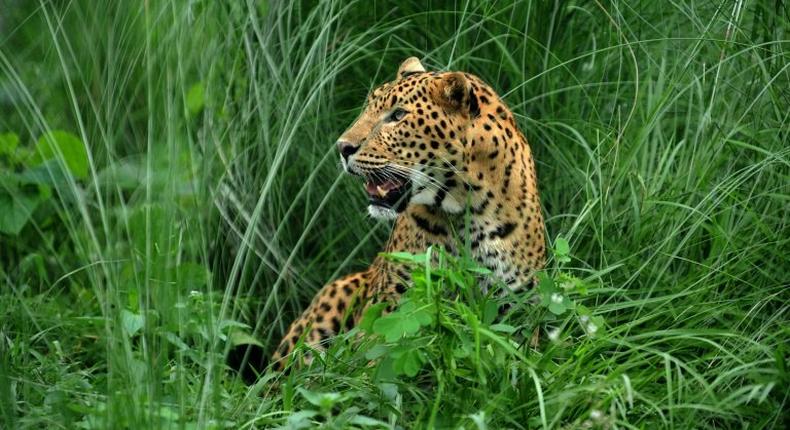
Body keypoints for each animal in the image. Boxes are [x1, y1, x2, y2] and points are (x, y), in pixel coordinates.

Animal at [270, 57, 544, 372]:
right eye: (368, 108)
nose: (342, 147)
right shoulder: (394, 304)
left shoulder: (518, 307)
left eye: (398, 115)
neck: (467, 211)